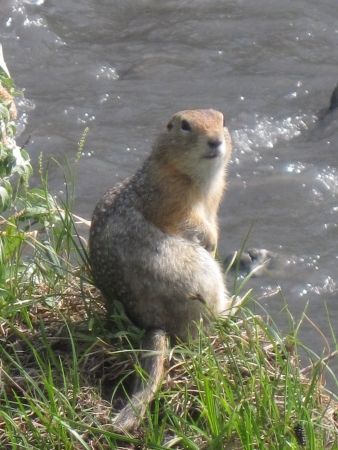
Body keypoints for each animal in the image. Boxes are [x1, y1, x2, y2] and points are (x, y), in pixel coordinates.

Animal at [90, 109, 235, 432]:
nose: (215, 141)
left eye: (222, 120)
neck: (199, 177)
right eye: (185, 126)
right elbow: (189, 221)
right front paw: (211, 240)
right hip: (200, 274)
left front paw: (216, 238)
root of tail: (155, 323)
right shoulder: (169, 197)